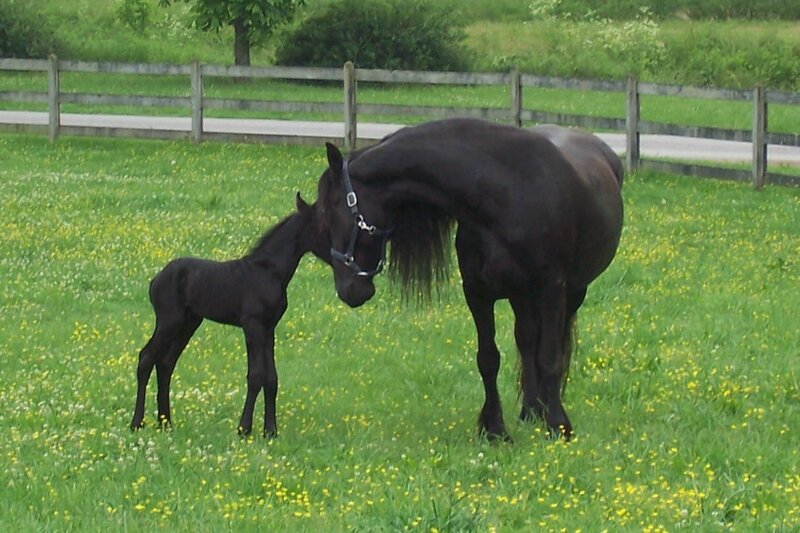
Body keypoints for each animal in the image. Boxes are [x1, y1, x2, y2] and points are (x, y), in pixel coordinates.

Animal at [130, 193, 330, 438]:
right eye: (321, 227)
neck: (268, 271)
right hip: (169, 321)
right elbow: (256, 376)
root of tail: (156, 279)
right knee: (146, 358)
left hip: (189, 323)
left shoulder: (268, 328)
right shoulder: (252, 325)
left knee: (166, 363)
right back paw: (137, 423)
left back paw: (166, 423)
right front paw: (244, 429)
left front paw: (270, 431)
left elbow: (271, 378)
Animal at [315, 119, 624, 440]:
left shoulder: (551, 289)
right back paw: (529, 411)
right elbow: (488, 359)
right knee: (526, 342)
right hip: (521, 297)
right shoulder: (477, 293)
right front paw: (495, 429)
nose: (348, 290)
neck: (507, 194)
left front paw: (559, 425)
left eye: (332, 210)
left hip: (572, 293)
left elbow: (550, 357)